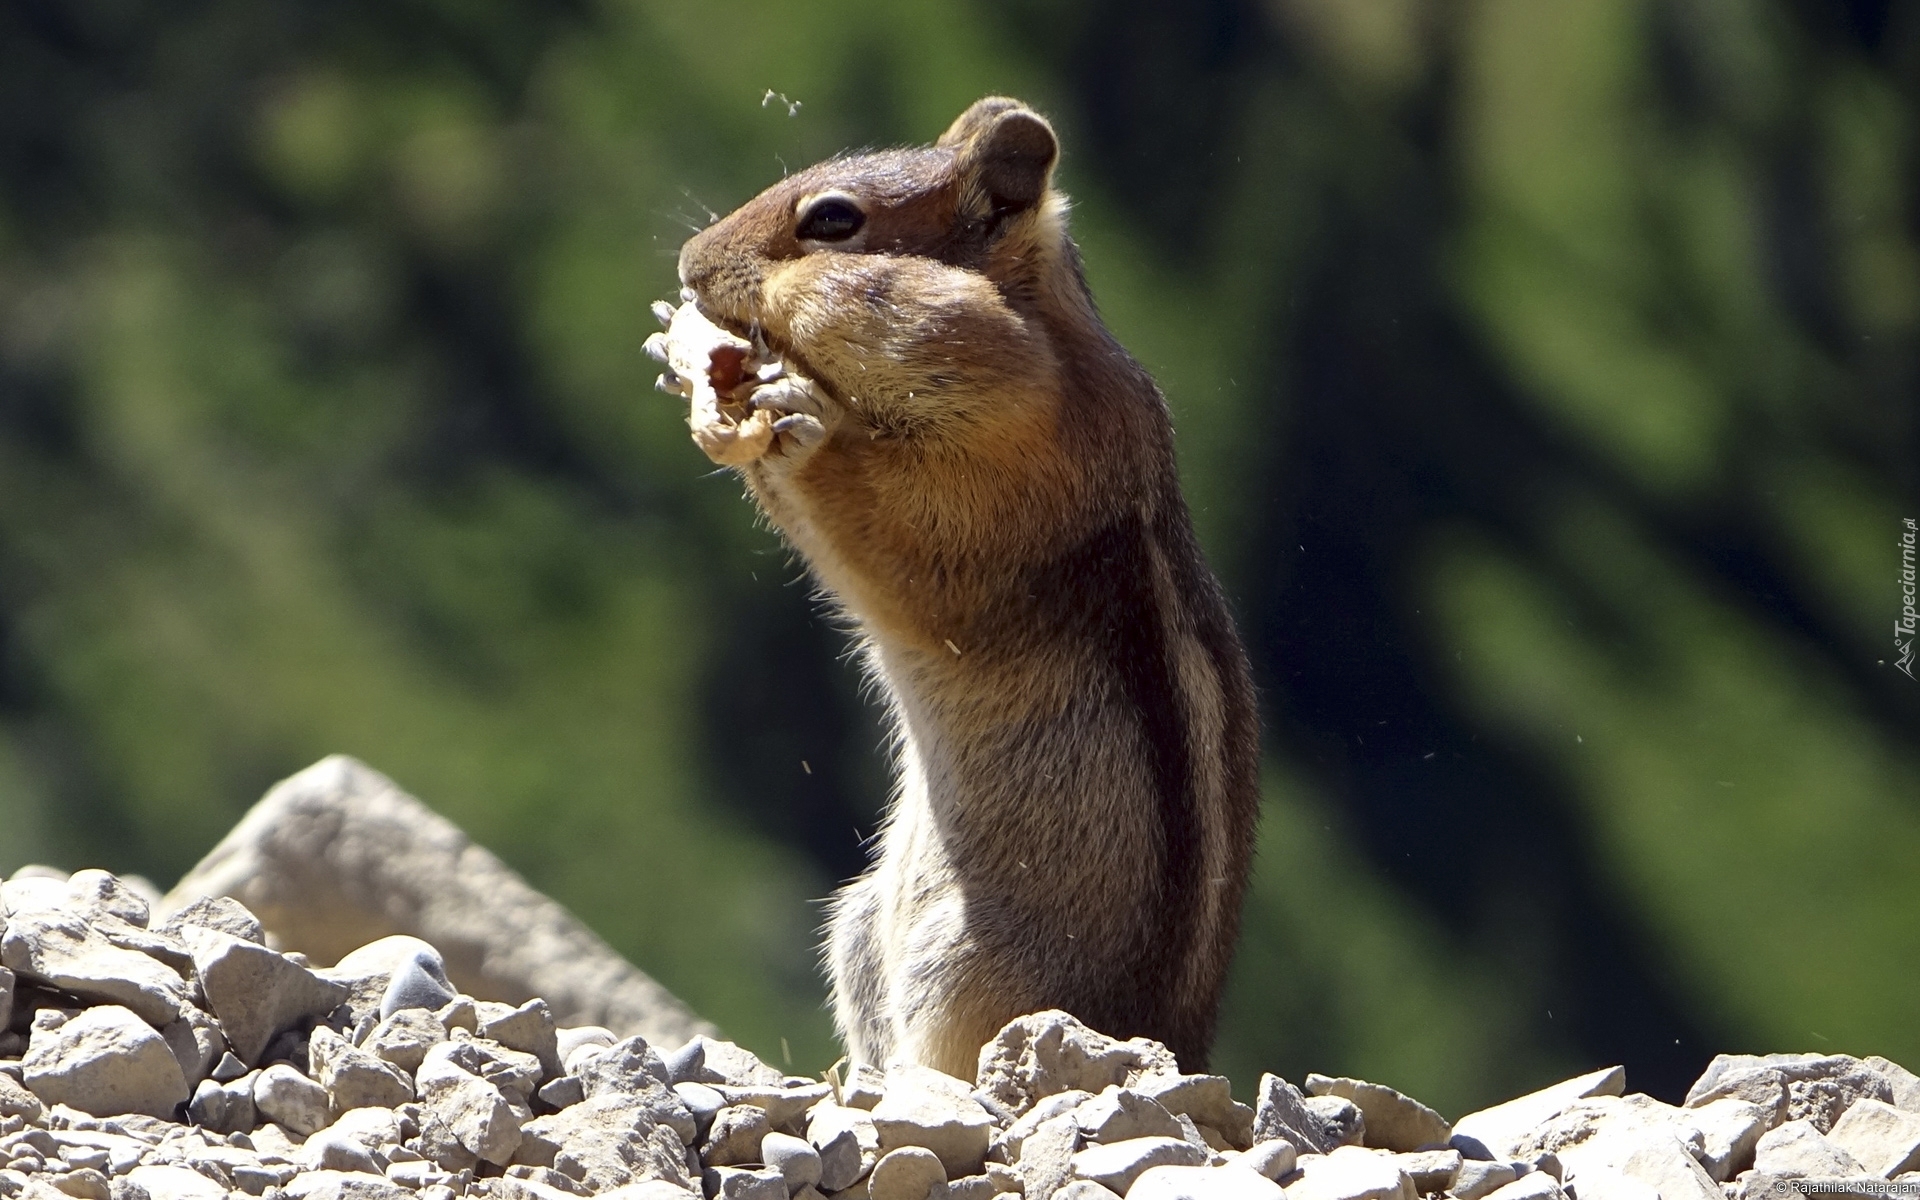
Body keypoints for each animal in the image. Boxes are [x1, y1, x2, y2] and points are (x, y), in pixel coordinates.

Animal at [652, 96, 1267, 1075]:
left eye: (834, 221)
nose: (689, 264)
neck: (1045, 345)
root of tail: (1183, 1051)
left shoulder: (1018, 463)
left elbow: (909, 539)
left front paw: (794, 419)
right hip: (862, 926)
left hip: (970, 966)